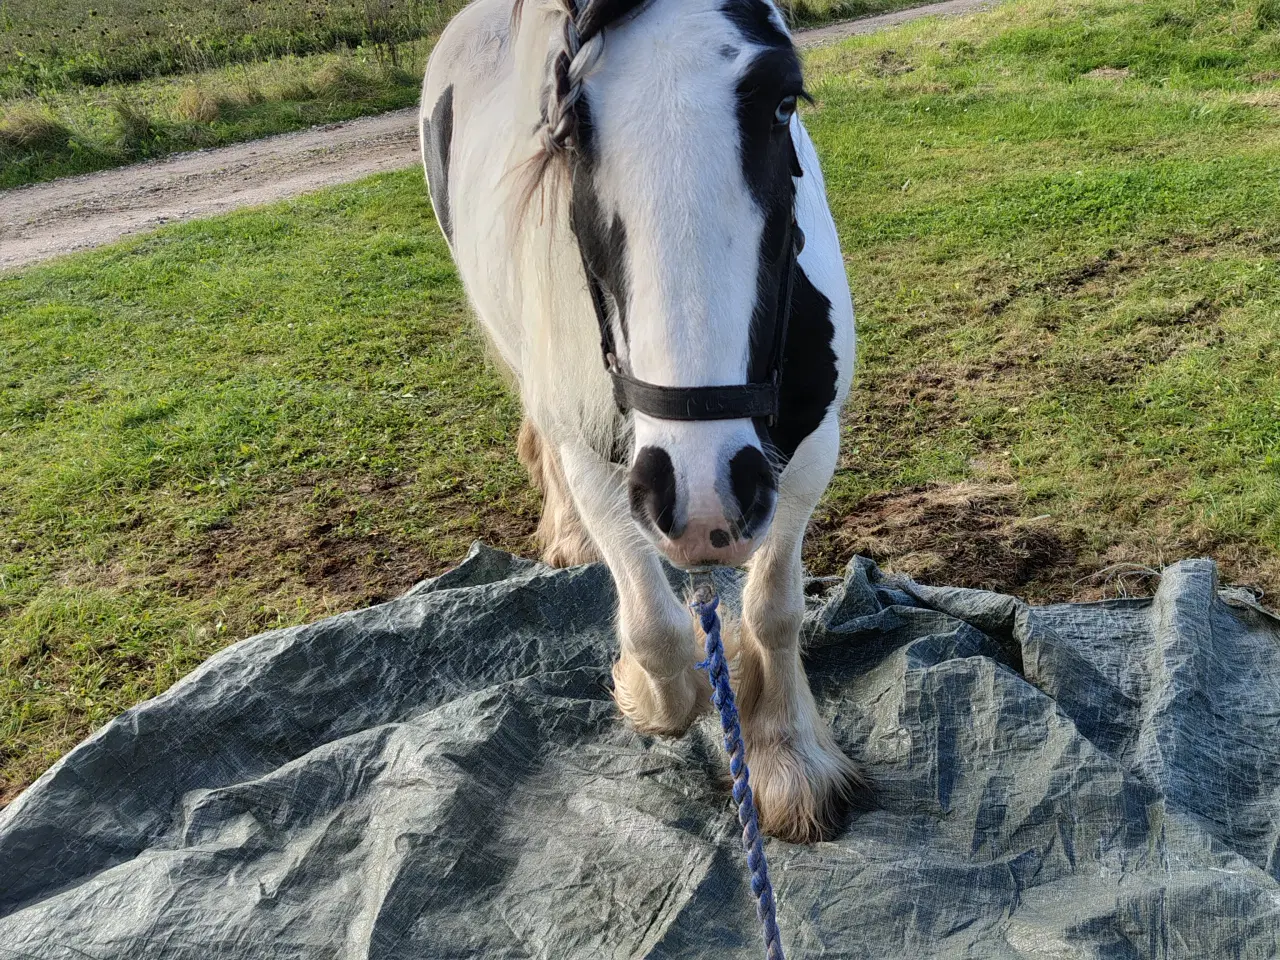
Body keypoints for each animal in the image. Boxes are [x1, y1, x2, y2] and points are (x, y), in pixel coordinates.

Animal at [424, 0, 865, 839]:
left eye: (784, 102)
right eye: (569, 126)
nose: (704, 497)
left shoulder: (810, 449)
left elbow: (774, 606)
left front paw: (787, 758)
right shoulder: (602, 460)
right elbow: (656, 628)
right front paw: (653, 689)